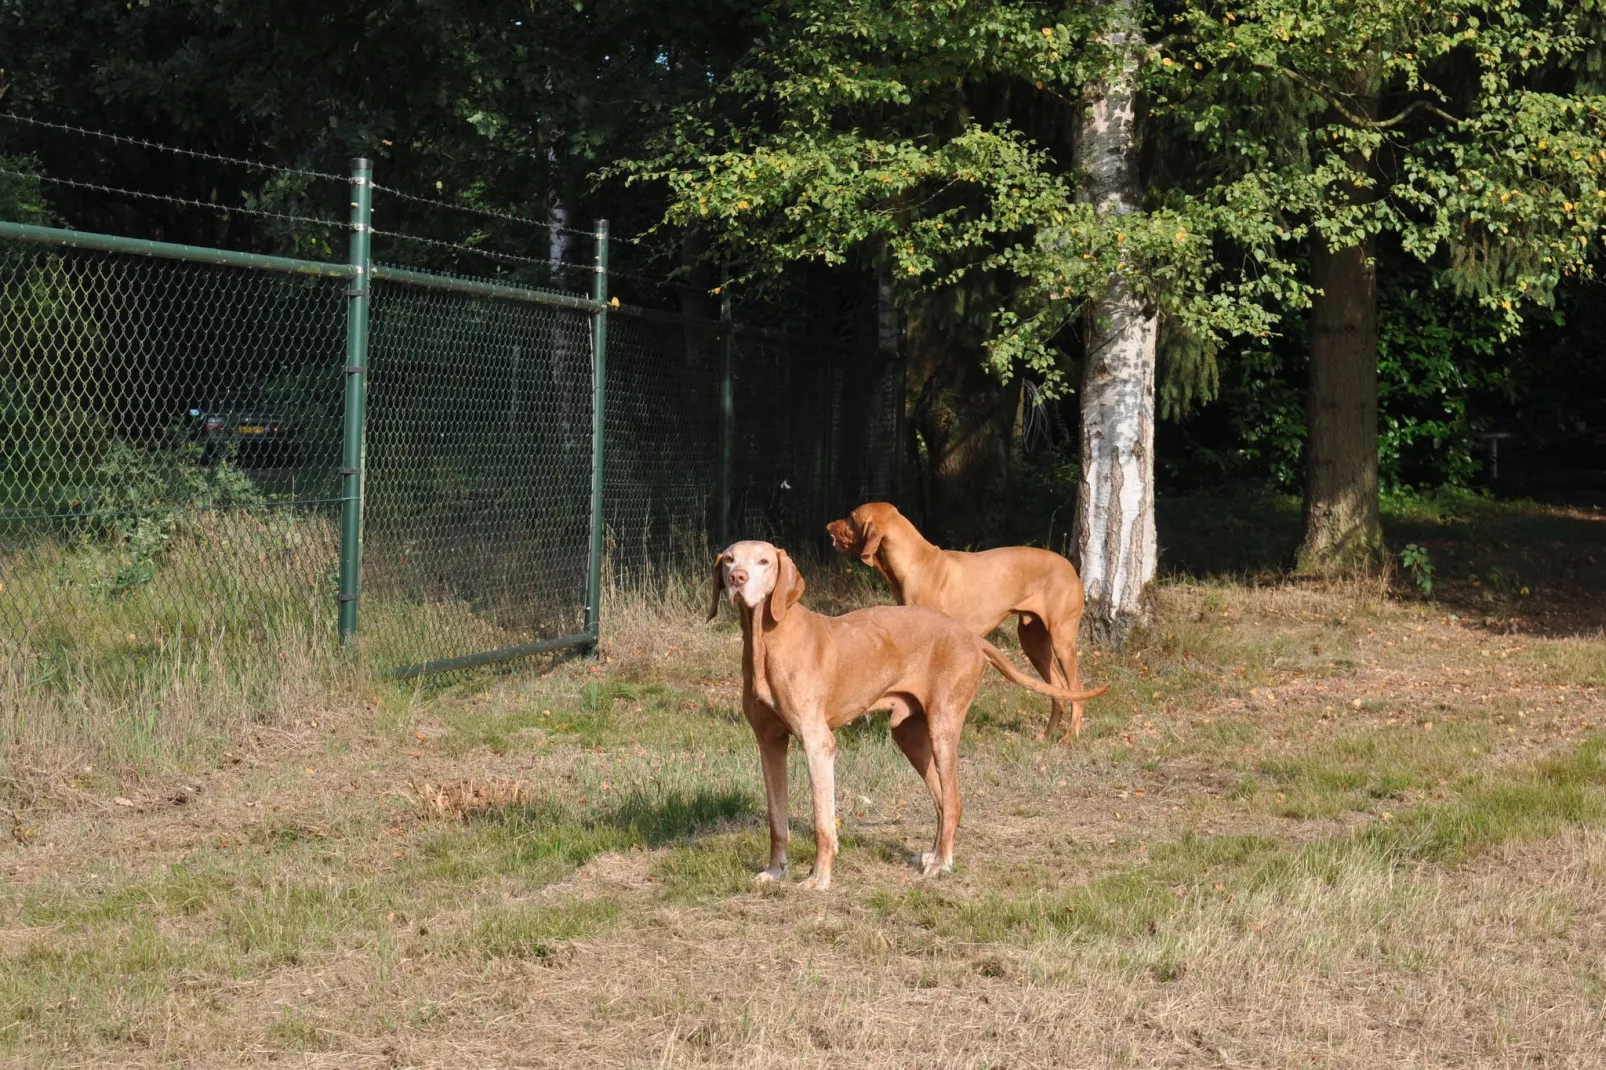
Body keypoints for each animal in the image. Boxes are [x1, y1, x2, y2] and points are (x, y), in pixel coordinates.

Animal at [713, 536, 1104, 886]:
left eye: (764, 561)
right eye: (730, 559)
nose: (737, 579)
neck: (767, 641)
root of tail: (972, 637)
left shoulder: (818, 744)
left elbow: (823, 824)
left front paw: (818, 878)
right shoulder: (770, 744)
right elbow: (776, 820)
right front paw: (775, 871)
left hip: (943, 726)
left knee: (954, 800)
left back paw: (940, 865)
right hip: (910, 735)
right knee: (943, 803)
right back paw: (935, 856)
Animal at [828, 501, 1092, 739]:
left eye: (851, 517)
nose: (828, 526)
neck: (917, 562)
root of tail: (1071, 568)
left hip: (1061, 640)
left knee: (1076, 690)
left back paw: (1070, 737)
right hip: (1033, 642)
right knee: (1058, 690)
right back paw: (1047, 736)